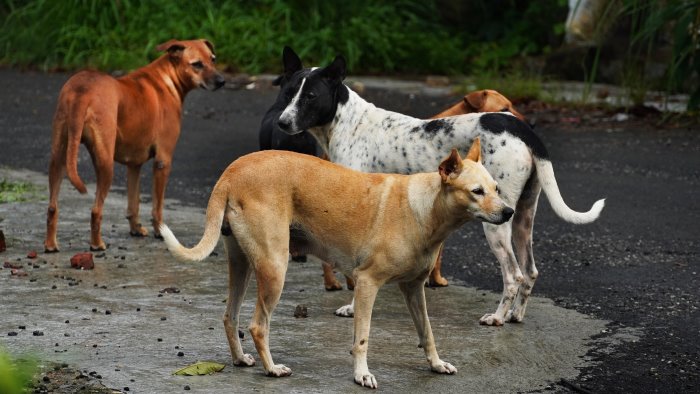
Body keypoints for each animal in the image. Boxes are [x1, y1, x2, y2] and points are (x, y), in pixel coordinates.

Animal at [44, 38, 224, 251]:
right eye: (197, 64)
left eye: (213, 59)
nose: (222, 81)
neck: (167, 78)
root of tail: (82, 90)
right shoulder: (163, 161)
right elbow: (157, 207)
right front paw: (159, 231)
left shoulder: (134, 165)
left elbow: (133, 203)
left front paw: (136, 228)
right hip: (105, 164)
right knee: (96, 211)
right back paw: (97, 244)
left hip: (58, 159)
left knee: (52, 208)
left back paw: (50, 244)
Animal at [160, 139, 516, 388]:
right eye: (477, 191)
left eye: (497, 188)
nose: (510, 212)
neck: (424, 208)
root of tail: (230, 173)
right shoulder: (368, 284)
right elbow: (362, 338)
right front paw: (361, 375)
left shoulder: (414, 289)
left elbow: (427, 332)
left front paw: (436, 364)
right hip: (274, 268)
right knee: (258, 326)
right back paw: (272, 369)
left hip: (243, 266)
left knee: (229, 316)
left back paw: (240, 360)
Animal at [276, 47, 604, 326]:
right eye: (288, 94)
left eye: (311, 96)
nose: (281, 123)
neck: (348, 123)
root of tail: (521, 127)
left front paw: (353, 307)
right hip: (523, 217)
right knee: (531, 271)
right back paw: (515, 315)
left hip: (497, 222)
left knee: (515, 276)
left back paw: (497, 317)